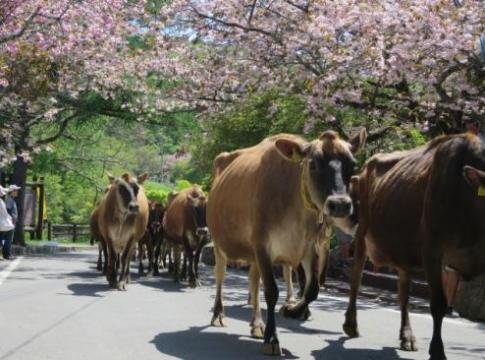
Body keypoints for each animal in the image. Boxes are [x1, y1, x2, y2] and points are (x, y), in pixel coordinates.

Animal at [206, 129, 364, 354]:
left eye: (352, 164)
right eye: (312, 164)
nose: (340, 204)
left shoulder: (309, 248)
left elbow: (312, 289)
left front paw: (291, 310)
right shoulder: (263, 246)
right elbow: (272, 291)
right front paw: (272, 339)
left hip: (253, 254)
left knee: (254, 281)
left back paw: (257, 324)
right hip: (220, 244)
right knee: (221, 275)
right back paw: (218, 314)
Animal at [342, 133, 484, 360]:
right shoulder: (432, 251)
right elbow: (438, 303)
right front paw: (437, 351)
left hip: (403, 250)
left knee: (403, 292)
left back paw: (407, 336)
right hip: (362, 232)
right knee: (356, 277)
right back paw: (351, 324)